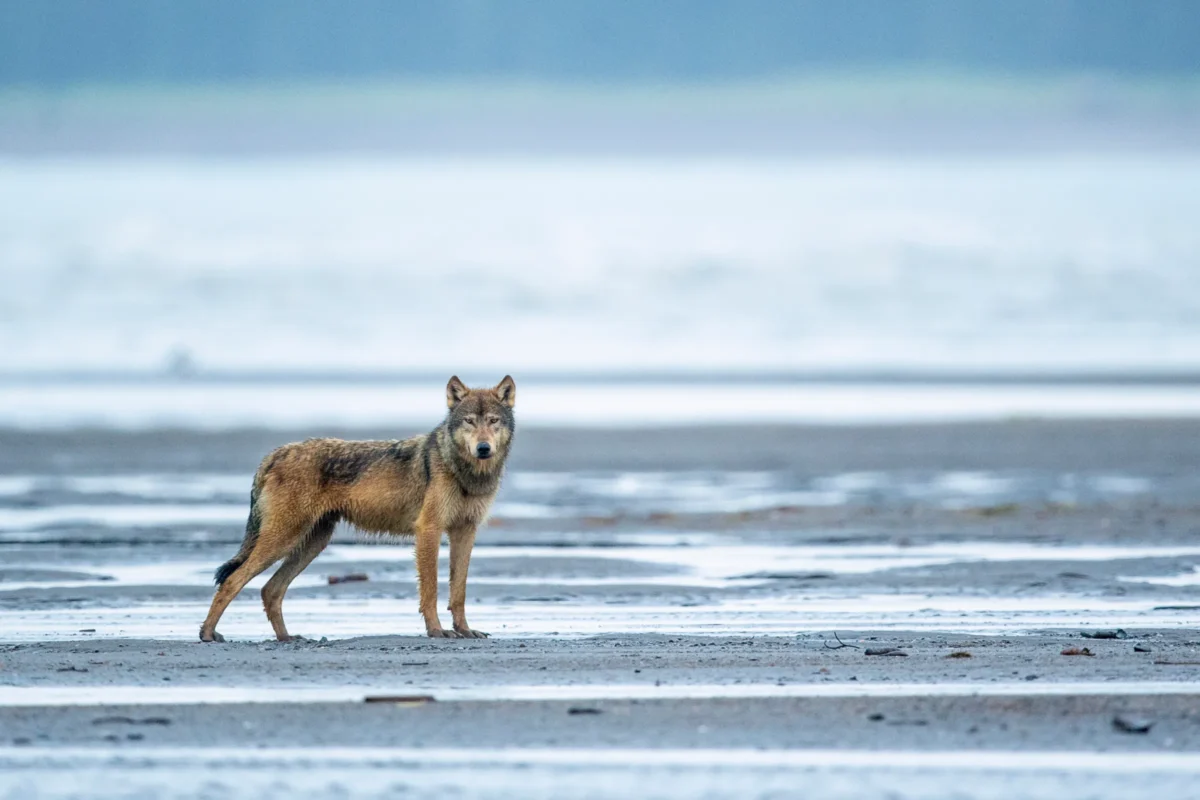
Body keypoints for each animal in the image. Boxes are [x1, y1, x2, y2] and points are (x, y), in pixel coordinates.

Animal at [199, 375, 515, 642]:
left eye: (493, 421)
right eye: (470, 422)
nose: (483, 448)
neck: (465, 472)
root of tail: (278, 452)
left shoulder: (465, 532)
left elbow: (458, 591)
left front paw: (464, 630)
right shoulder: (429, 530)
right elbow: (431, 590)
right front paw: (436, 631)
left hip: (312, 543)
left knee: (270, 589)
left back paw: (287, 638)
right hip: (283, 540)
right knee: (232, 581)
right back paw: (207, 634)